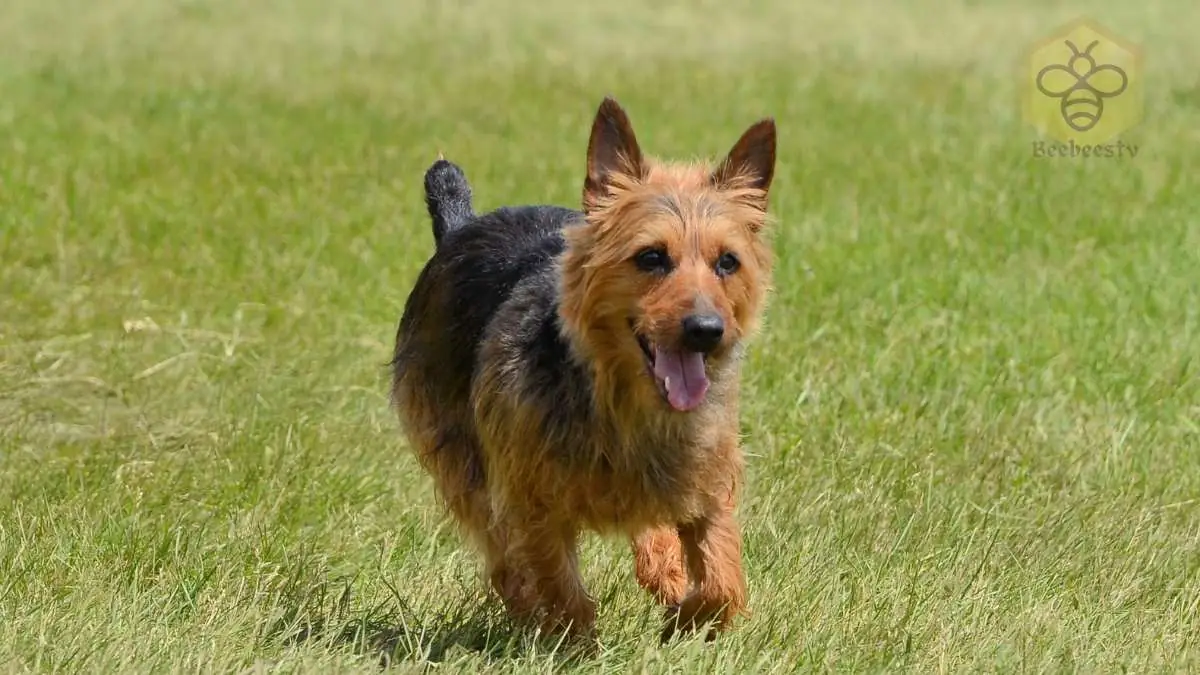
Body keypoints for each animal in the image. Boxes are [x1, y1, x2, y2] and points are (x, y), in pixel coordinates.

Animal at [388, 96, 772, 638]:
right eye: (651, 257)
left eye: (728, 262)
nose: (706, 329)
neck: (624, 405)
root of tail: (460, 227)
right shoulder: (530, 500)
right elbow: (558, 585)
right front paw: (574, 643)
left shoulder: (710, 483)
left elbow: (722, 582)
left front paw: (683, 619)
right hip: (461, 464)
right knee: (501, 559)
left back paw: (664, 571)